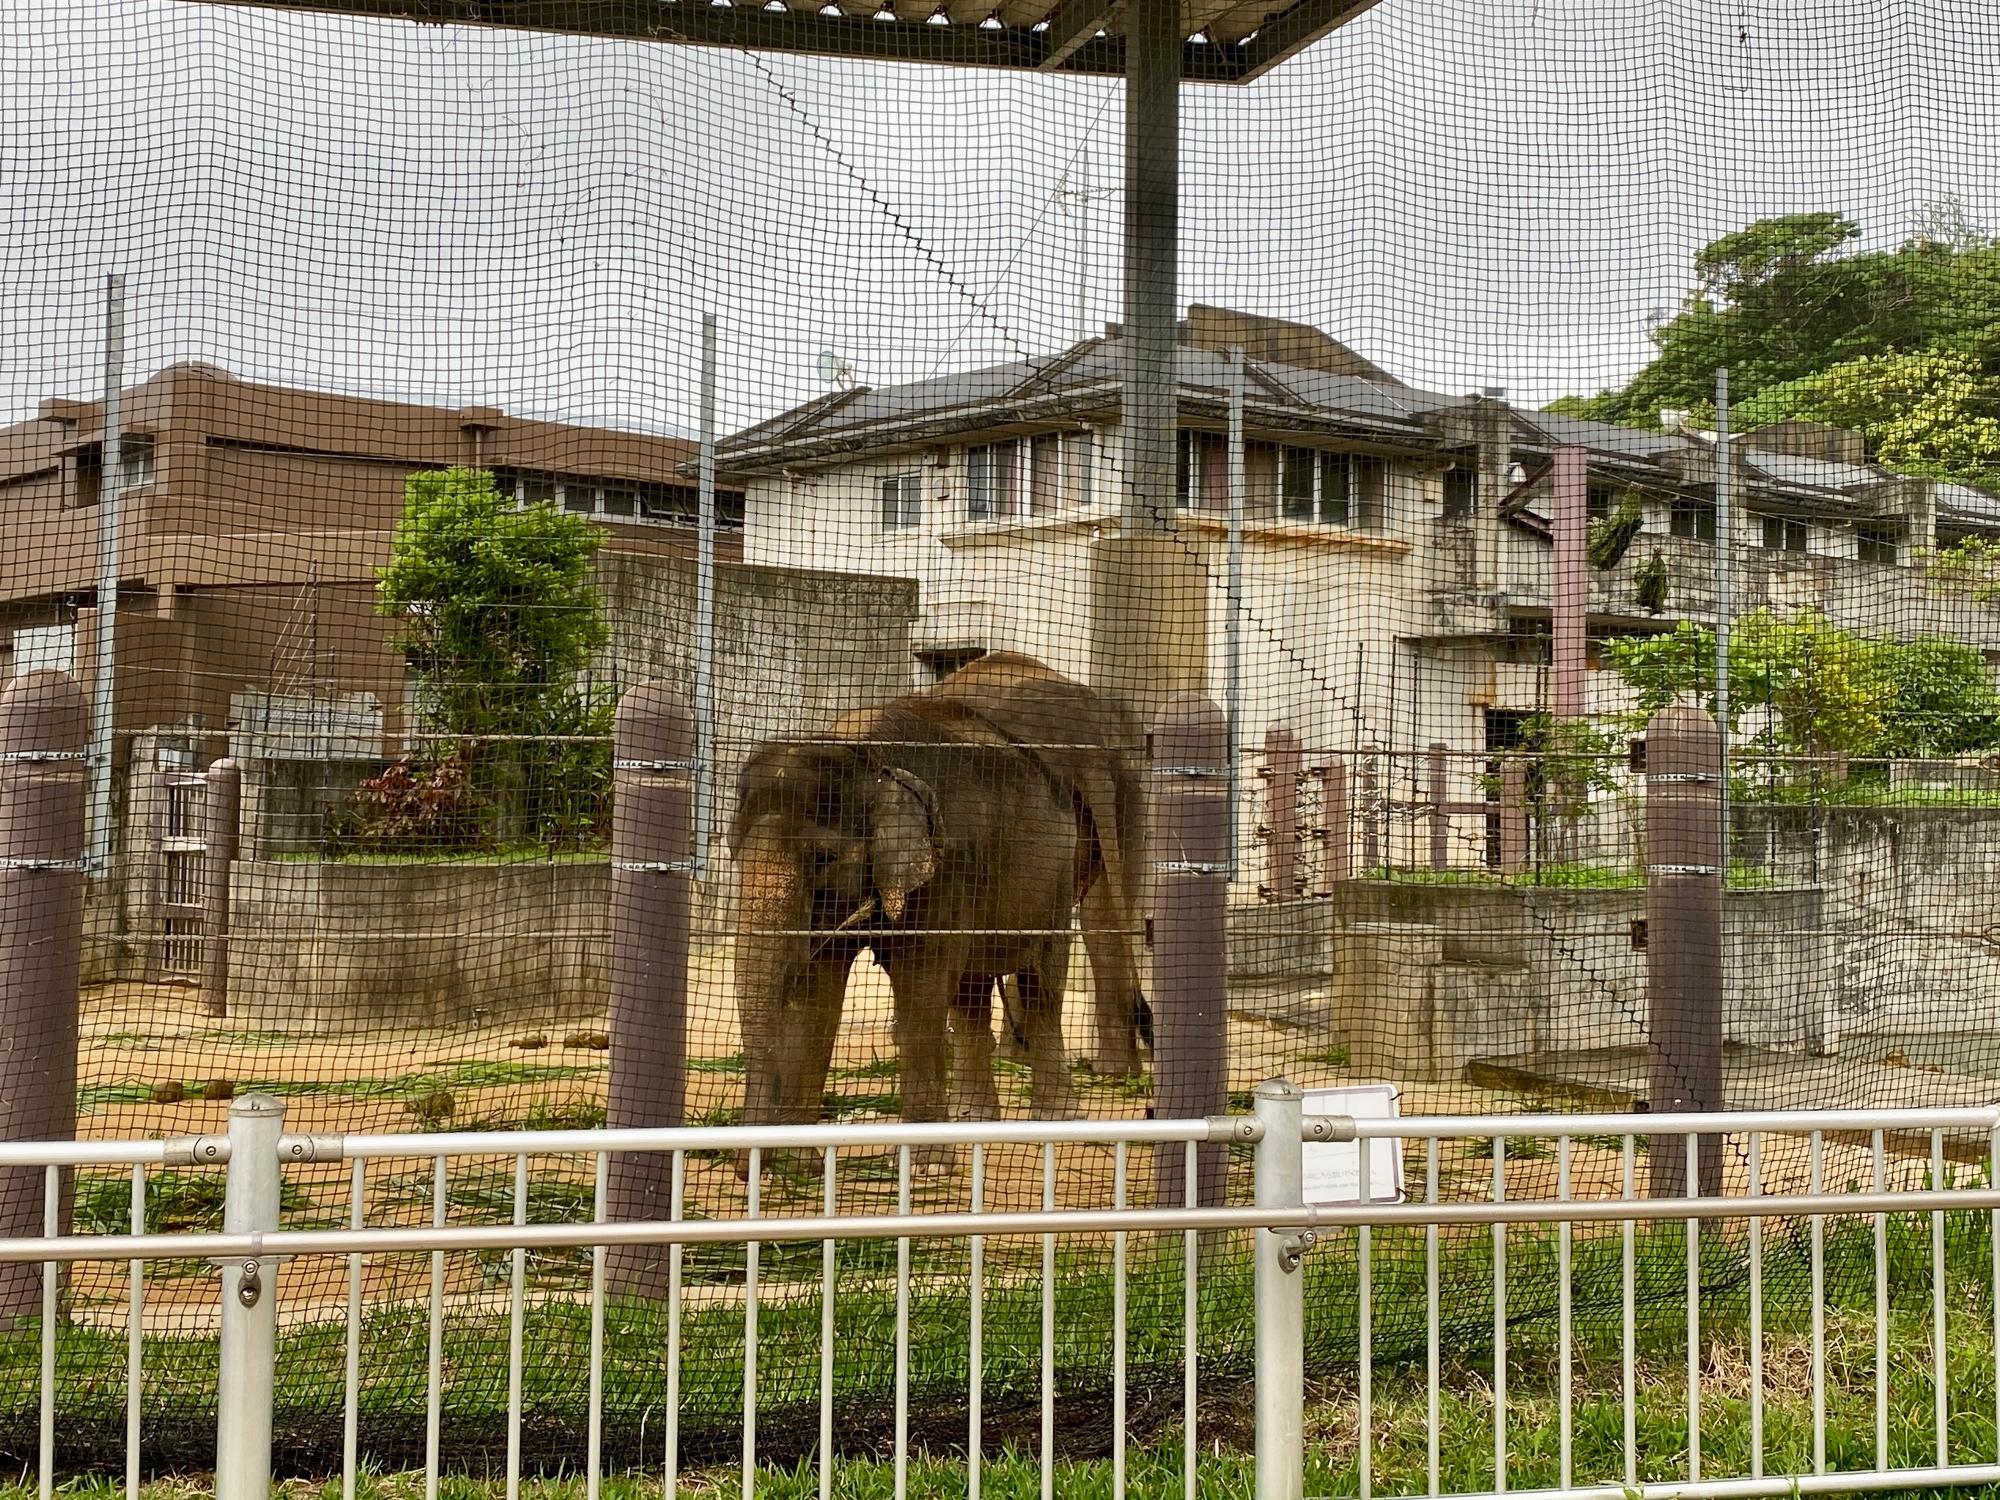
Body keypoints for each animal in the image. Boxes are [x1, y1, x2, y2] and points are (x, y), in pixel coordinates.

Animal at [728, 692, 1088, 1160]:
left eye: (823, 858)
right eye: (733, 854)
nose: (754, 1164)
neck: (866, 755)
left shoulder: (947, 862)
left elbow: (920, 981)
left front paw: (930, 1165)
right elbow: (818, 992)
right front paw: (798, 1162)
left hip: (1059, 880)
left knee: (1040, 984)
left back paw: (1059, 1121)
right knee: (969, 996)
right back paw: (974, 1120)